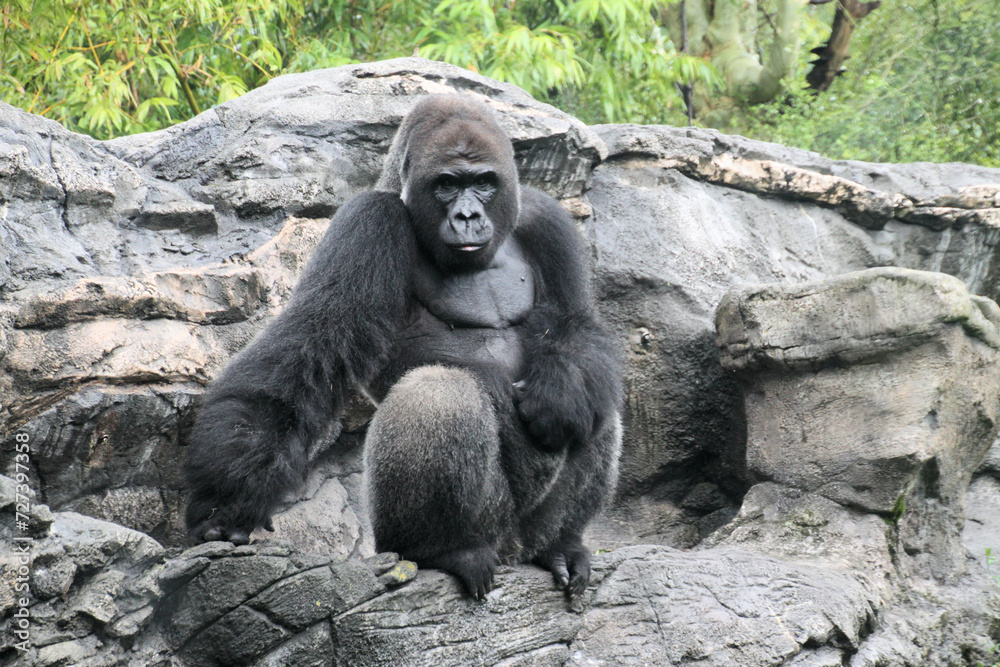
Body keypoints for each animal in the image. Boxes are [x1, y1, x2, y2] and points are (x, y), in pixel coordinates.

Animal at [184, 95, 623, 599]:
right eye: (447, 185)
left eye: (484, 183)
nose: (468, 217)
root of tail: (512, 552)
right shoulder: (369, 219)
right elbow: (312, 344)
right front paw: (227, 503)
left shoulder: (544, 217)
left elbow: (576, 323)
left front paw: (561, 391)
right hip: (478, 531)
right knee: (438, 391)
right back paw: (441, 549)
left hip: (525, 534)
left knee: (598, 403)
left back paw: (559, 545)